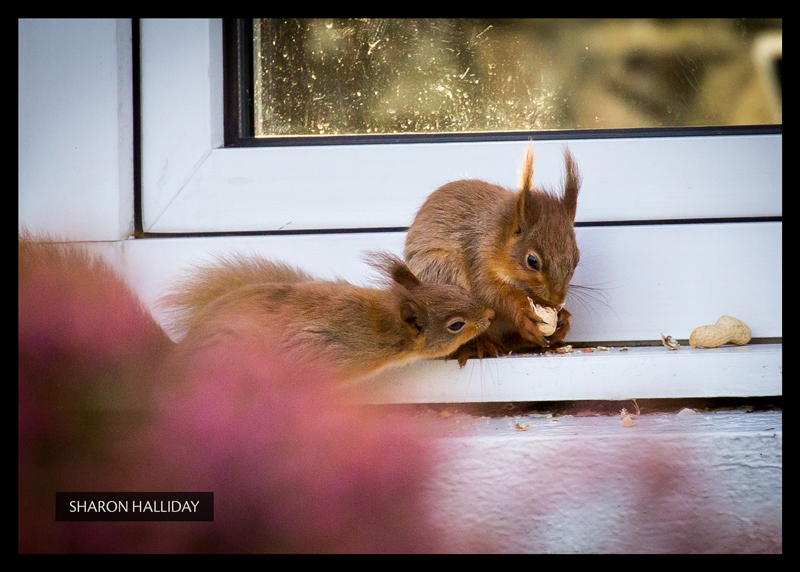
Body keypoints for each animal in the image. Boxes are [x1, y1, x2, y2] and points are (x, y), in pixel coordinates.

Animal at [406, 145, 580, 364]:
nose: (557, 298)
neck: (498, 235)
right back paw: (480, 345)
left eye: (576, 259)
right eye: (532, 261)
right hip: (443, 272)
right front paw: (522, 310)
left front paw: (562, 317)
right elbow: (490, 293)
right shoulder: (478, 256)